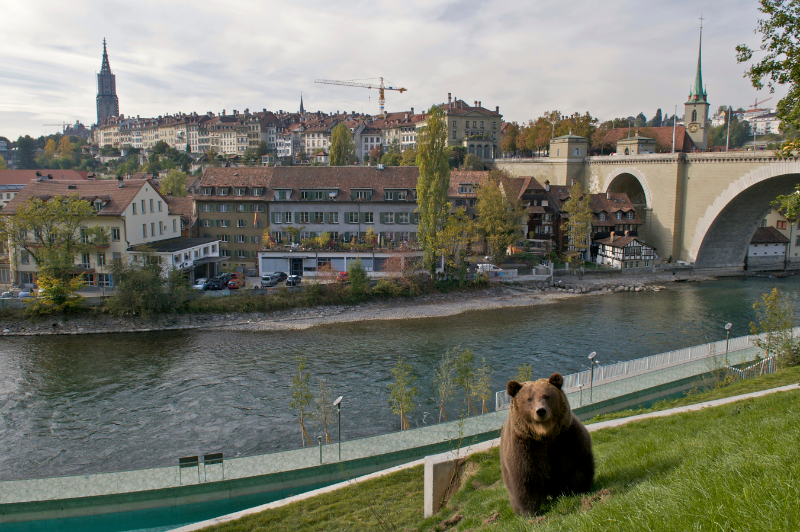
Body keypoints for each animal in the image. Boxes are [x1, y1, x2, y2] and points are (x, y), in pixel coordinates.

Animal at [499, 372, 594, 516]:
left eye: (546, 395)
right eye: (529, 399)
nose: (541, 411)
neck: (545, 434)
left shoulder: (566, 439)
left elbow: (578, 465)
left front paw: (580, 490)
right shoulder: (525, 447)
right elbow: (525, 479)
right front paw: (530, 512)